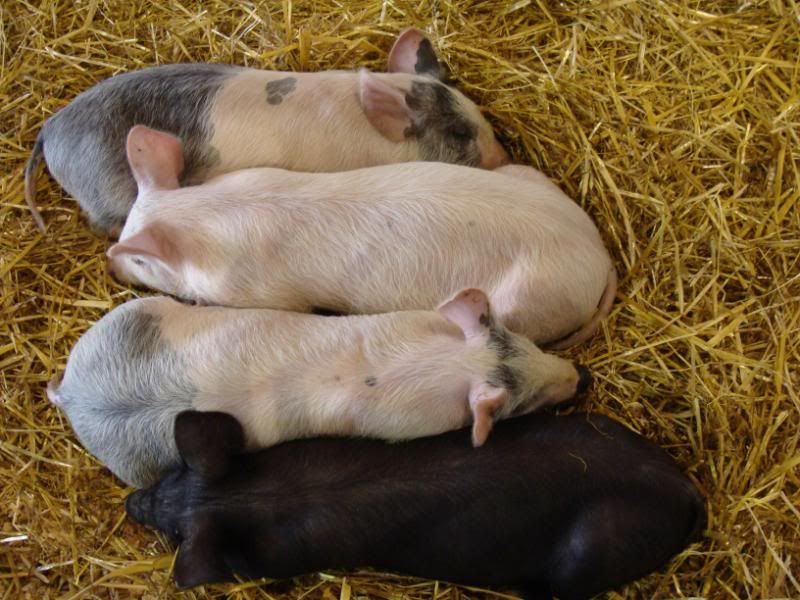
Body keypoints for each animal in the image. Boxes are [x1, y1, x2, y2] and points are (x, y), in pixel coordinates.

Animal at [47, 289, 590, 488]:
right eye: (521, 405)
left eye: (522, 339)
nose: (579, 377)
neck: (442, 364)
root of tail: (72, 394)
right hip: (139, 467)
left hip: (134, 313)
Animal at [107, 126, 616, 348]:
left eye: (140, 260)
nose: (111, 264)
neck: (206, 215)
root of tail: (598, 255)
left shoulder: (268, 294)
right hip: (526, 175)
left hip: (526, 302)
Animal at [125, 409, 706, 598]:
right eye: (173, 473)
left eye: (175, 533)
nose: (132, 503)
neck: (252, 497)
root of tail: (687, 492)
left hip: (589, 557)